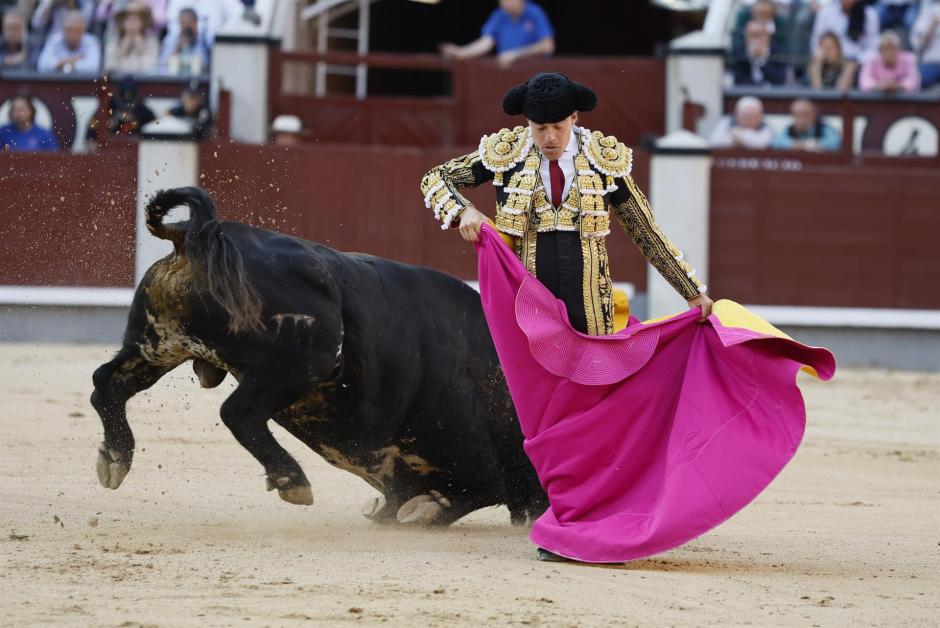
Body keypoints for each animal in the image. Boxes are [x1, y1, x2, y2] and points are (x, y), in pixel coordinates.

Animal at [92, 189, 548, 528]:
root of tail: (201, 234)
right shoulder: (484, 461)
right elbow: (477, 489)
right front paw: (420, 510)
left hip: (157, 344)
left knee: (105, 384)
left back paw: (114, 459)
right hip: (301, 364)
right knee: (238, 412)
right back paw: (291, 479)